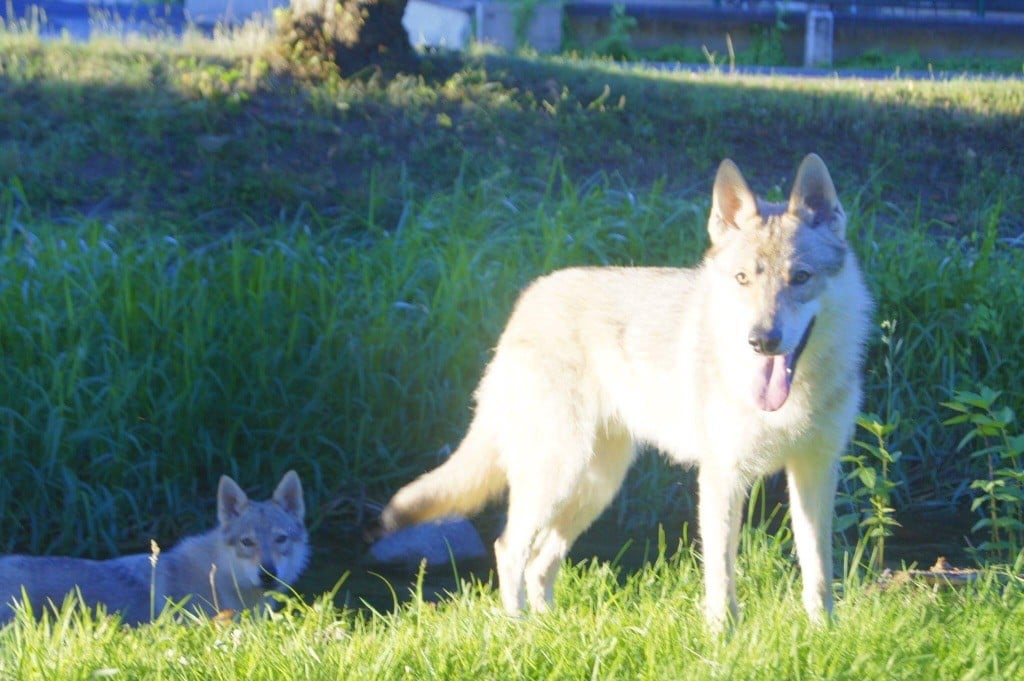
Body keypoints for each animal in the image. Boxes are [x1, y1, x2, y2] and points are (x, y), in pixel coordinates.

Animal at [380, 152, 876, 626]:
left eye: (800, 277)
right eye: (742, 280)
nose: (762, 340)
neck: (791, 398)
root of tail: (526, 301)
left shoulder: (814, 470)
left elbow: (818, 571)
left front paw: (823, 634)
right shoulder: (723, 477)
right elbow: (721, 578)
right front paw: (723, 638)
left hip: (596, 487)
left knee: (540, 563)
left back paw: (548, 631)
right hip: (558, 477)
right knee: (508, 548)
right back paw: (517, 630)